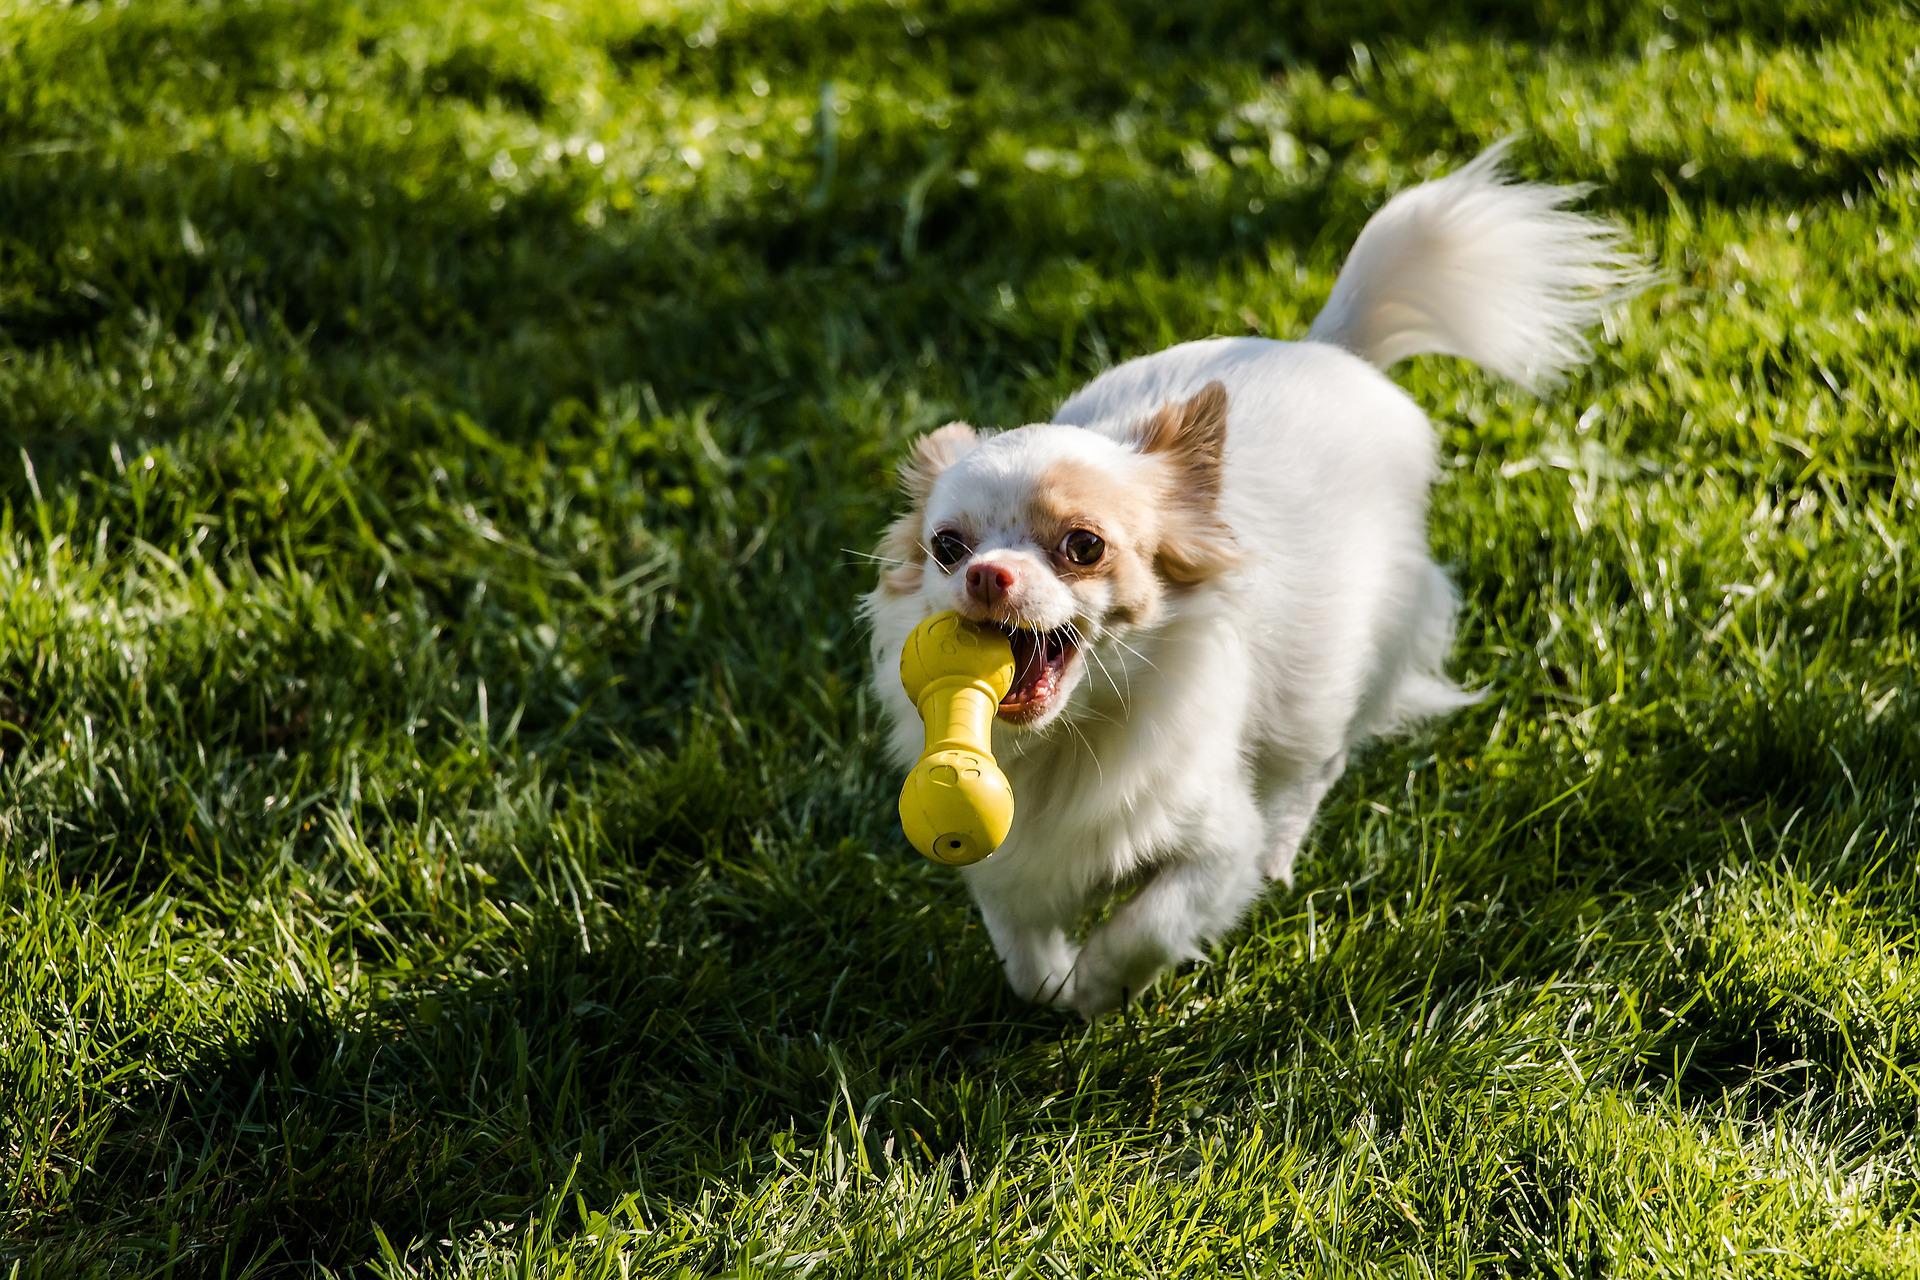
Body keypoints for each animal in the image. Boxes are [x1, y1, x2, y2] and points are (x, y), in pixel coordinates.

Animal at [864, 142, 1643, 1020]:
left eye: (1084, 545)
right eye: (947, 548)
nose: (988, 575)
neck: (1070, 738)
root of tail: (1329, 348)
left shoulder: (1212, 845)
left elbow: (1152, 922)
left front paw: (1100, 987)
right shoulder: (1007, 858)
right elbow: (1023, 952)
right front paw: (1059, 985)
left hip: (1335, 680)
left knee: (1313, 770)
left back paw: (1279, 852)